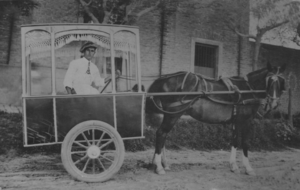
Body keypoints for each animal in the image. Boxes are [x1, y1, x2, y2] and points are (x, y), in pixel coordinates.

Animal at [148, 62, 286, 175]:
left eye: (281, 81)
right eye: (270, 80)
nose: (274, 103)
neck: (248, 89)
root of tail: (164, 78)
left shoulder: (236, 121)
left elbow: (234, 141)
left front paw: (233, 166)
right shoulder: (246, 121)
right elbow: (245, 143)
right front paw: (248, 168)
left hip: (168, 114)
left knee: (163, 136)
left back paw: (160, 164)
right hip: (173, 114)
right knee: (161, 133)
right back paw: (159, 167)